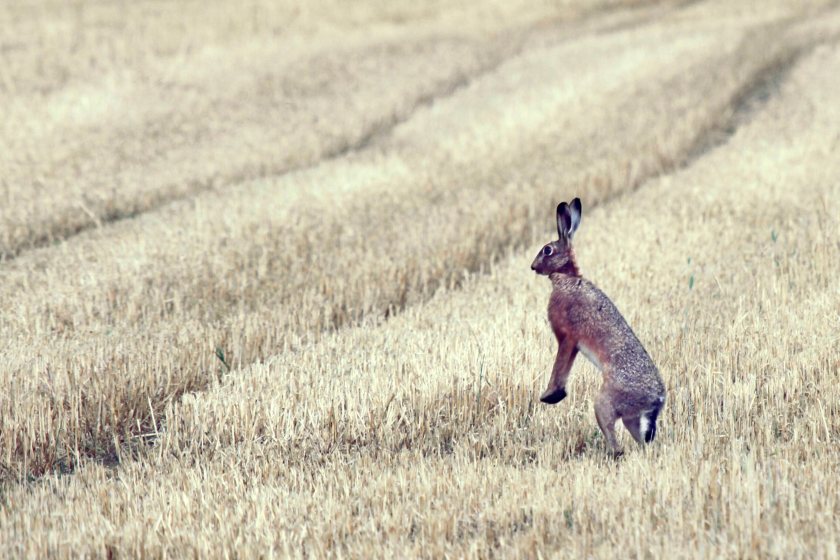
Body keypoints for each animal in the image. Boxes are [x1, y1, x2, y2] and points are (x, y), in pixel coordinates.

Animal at [530, 198, 665, 456]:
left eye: (547, 250)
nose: (533, 267)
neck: (566, 278)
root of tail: (657, 400)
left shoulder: (567, 337)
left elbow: (559, 367)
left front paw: (550, 395)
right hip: (632, 419)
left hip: (605, 402)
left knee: (612, 434)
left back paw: (613, 453)